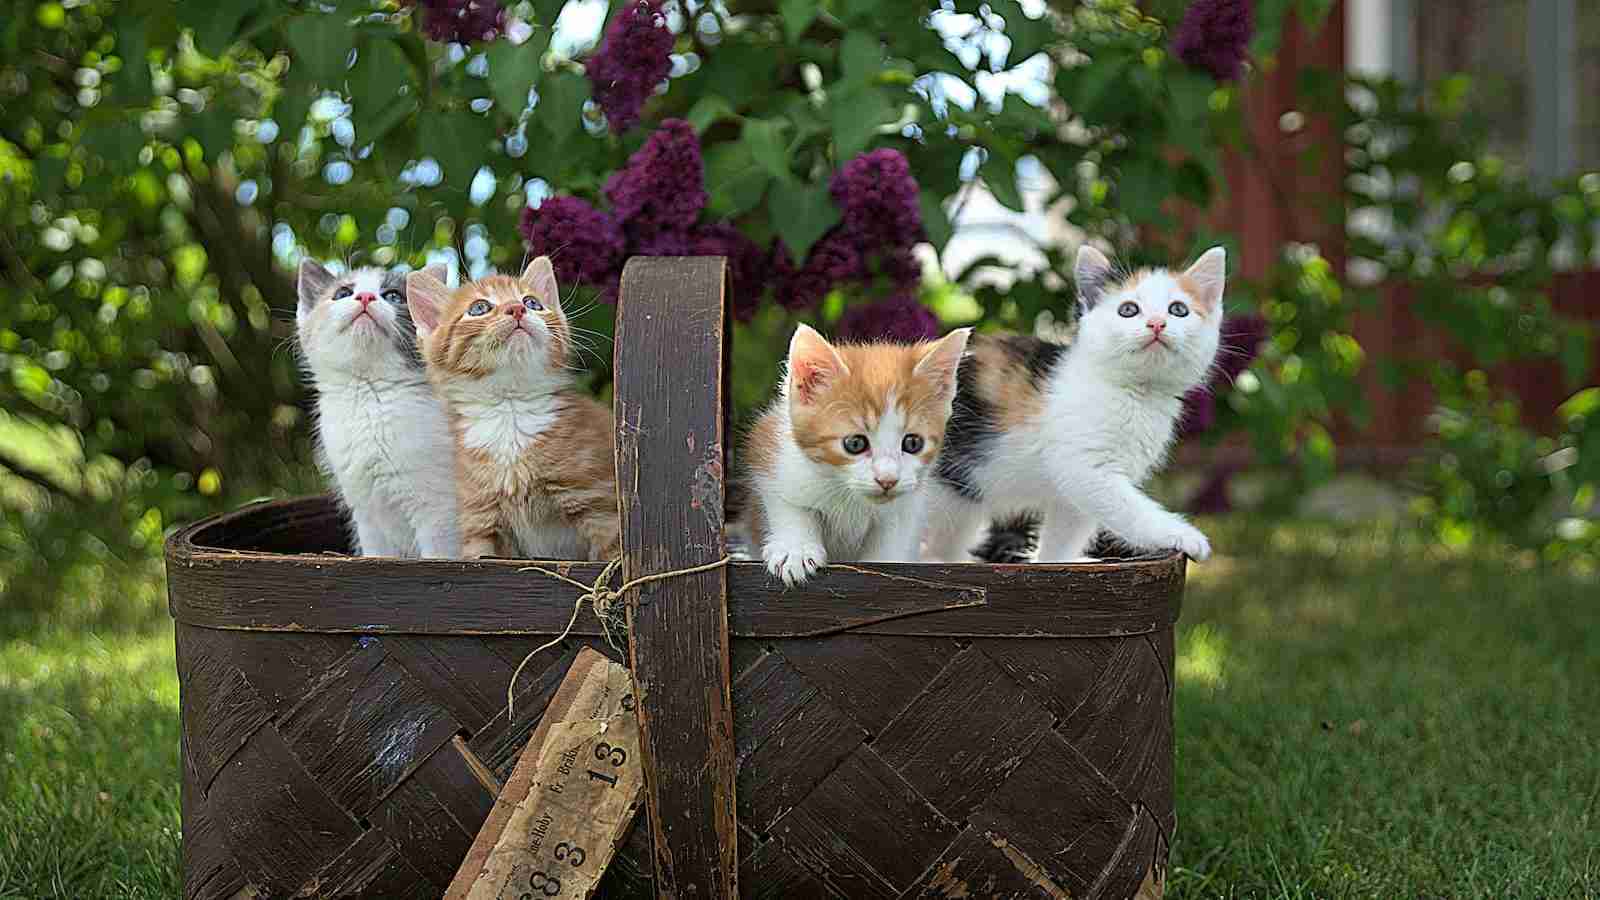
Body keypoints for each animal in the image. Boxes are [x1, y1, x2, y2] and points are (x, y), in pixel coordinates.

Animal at [296, 257, 464, 554]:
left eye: (393, 296)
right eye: (342, 293)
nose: (365, 296)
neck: (370, 395)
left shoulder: (439, 511)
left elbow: (438, 555)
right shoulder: (367, 516)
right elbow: (377, 554)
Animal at [406, 256, 617, 557]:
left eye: (532, 303)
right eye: (479, 308)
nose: (517, 308)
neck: (510, 410)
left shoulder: (600, 506)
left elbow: (614, 556)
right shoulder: (480, 521)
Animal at [739, 321, 972, 582]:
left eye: (913, 443)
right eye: (855, 444)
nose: (888, 480)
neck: (849, 496)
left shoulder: (906, 507)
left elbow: (892, 537)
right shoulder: (771, 452)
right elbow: (790, 504)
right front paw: (796, 549)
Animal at [928, 246, 1222, 560]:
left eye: (1178, 310)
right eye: (1128, 310)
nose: (1157, 324)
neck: (1135, 393)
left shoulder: (1072, 496)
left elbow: (1065, 535)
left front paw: (1053, 562)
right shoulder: (1085, 468)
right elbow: (1131, 510)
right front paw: (1182, 535)